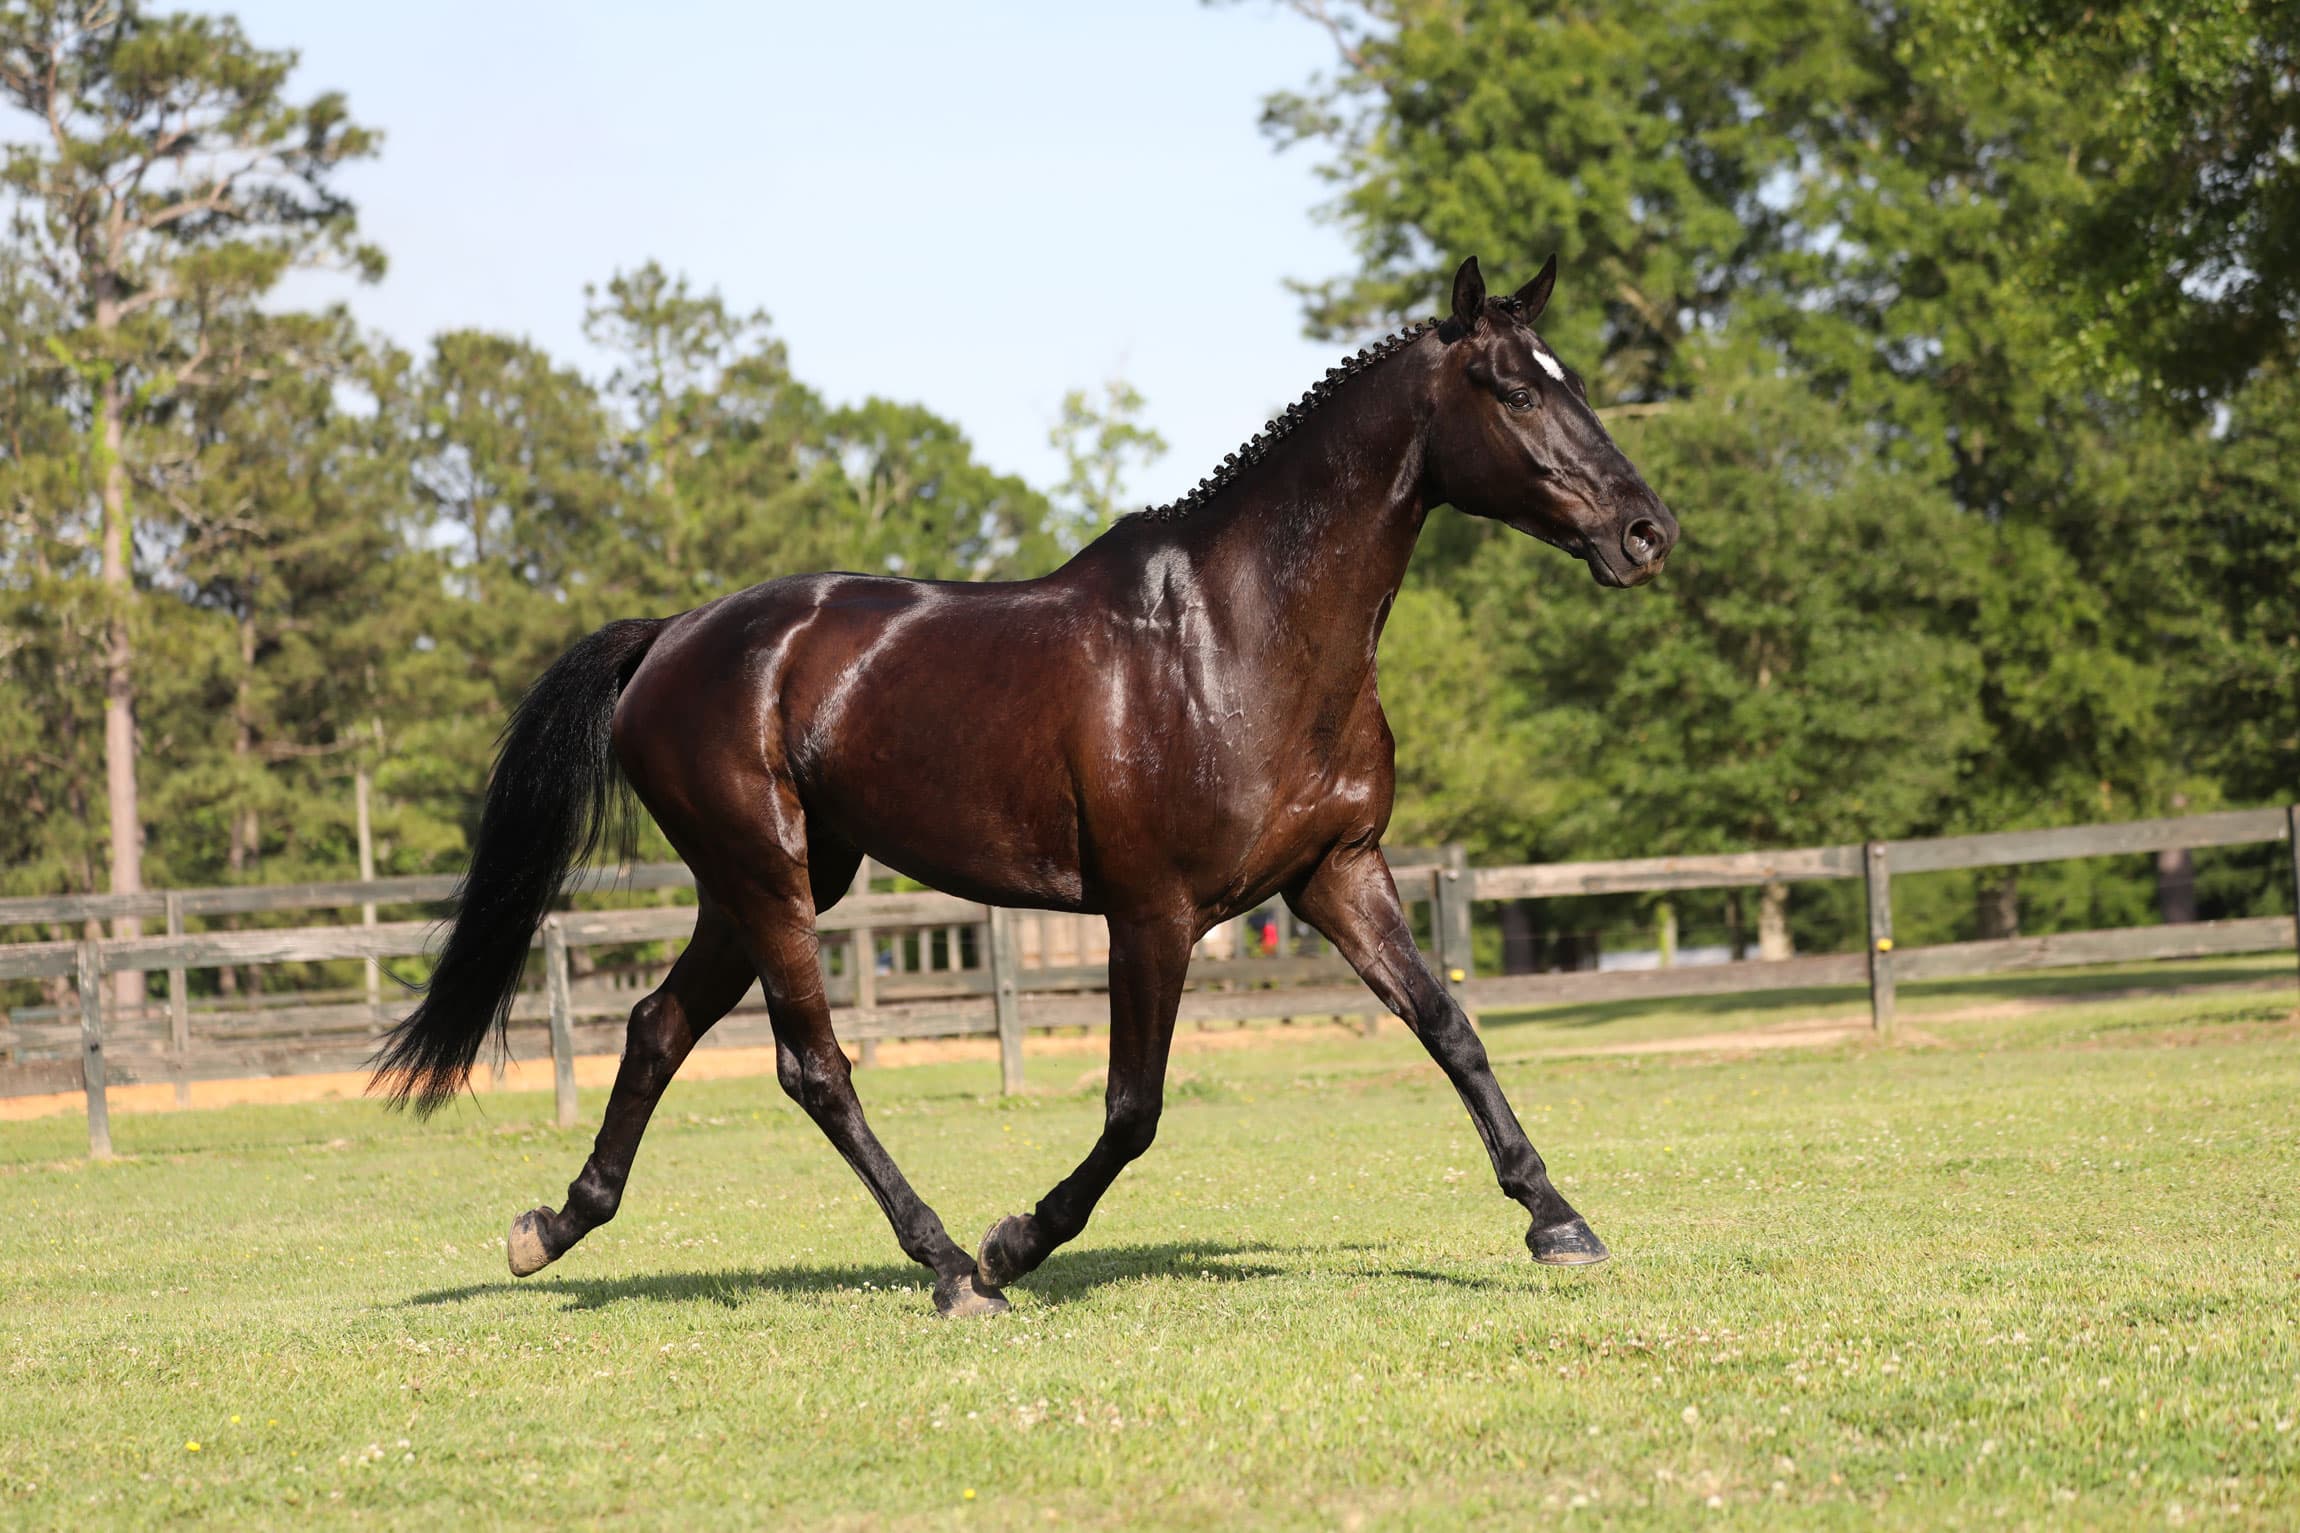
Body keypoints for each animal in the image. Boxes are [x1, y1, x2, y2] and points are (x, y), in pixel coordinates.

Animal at [371, 255, 1679, 1318]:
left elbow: (1449, 1028)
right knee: (812, 1068)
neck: (1240, 635)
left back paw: (551, 1227)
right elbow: (1133, 1111)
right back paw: (953, 1268)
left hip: (767, 883)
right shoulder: (1153, 913)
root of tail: (670, 638)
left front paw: (1558, 1222)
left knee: (656, 1028)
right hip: (764, 875)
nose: (1644, 533)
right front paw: (1017, 1241)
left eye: (1568, 380)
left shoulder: (1334, 873)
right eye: (1514, 391)